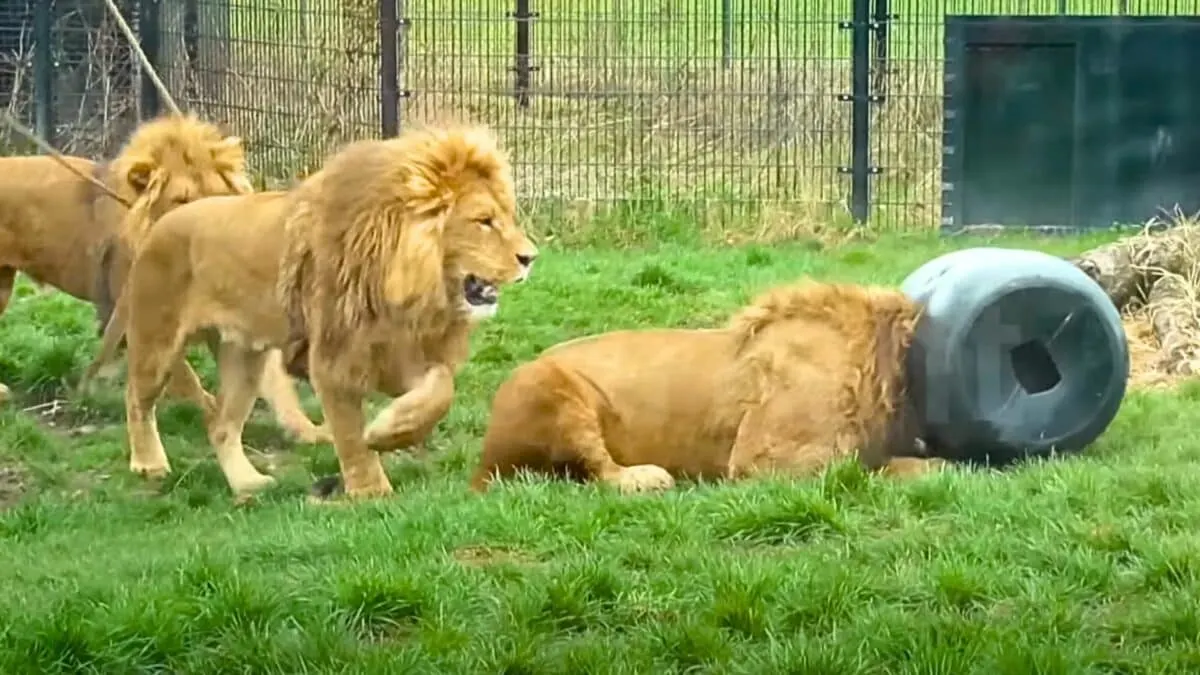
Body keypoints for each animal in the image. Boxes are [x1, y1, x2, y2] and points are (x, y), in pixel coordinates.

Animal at [0, 111, 326, 441]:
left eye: (216, 195)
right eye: (180, 200)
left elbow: (276, 382)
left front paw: (308, 431)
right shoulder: (144, 318)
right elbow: (186, 377)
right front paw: (211, 412)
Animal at [92, 121, 540, 499]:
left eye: (505, 217)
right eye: (483, 221)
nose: (530, 257)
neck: (412, 287)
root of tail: (164, 221)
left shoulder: (406, 351)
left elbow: (440, 391)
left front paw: (390, 432)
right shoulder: (334, 357)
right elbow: (349, 432)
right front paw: (370, 490)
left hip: (244, 357)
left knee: (221, 426)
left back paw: (248, 484)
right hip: (157, 338)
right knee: (138, 398)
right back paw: (148, 463)